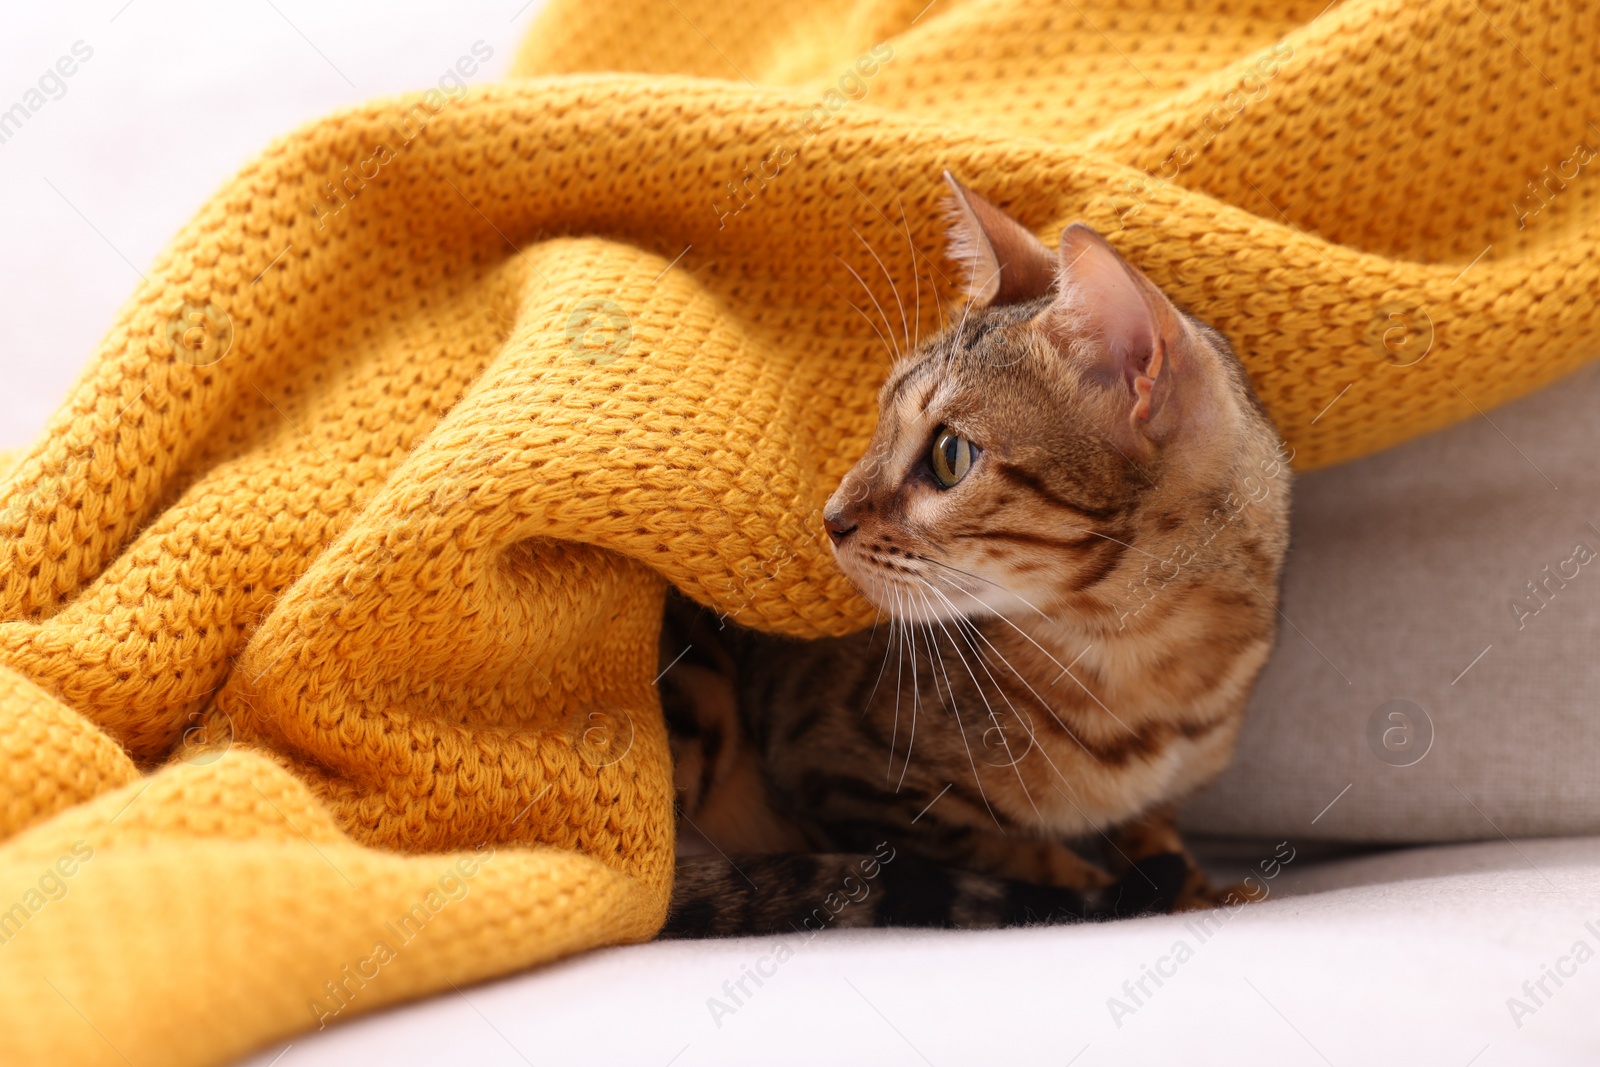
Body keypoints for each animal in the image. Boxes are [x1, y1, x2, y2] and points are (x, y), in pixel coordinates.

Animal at [656, 173, 1292, 934]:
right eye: (878, 418)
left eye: (950, 455)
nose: (829, 518)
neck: (1149, 681)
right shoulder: (835, 771)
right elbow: (1003, 855)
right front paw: (1105, 886)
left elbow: (1150, 831)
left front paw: (1194, 883)